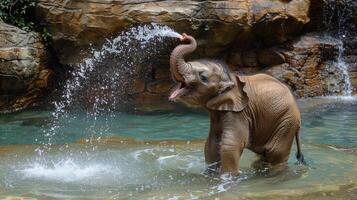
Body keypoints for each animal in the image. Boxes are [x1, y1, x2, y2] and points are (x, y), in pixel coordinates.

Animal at [169, 32, 304, 173]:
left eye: (203, 77)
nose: (184, 36)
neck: (230, 77)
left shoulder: (240, 112)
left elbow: (230, 145)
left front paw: (227, 176)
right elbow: (211, 145)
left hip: (287, 122)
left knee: (275, 152)